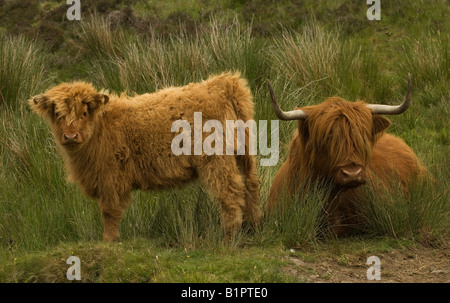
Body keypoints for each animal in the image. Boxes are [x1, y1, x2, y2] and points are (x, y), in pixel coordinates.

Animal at [29, 73, 260, 242]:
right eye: (58, 115)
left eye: (84, 113)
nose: (70, 136)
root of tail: (223, 83)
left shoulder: (111, 176)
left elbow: (109, 211)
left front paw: (109, 239)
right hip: (245, 152)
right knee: (251, 184)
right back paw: (252, 226)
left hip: (216, 158)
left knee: (230, 191)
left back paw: (229, 236)